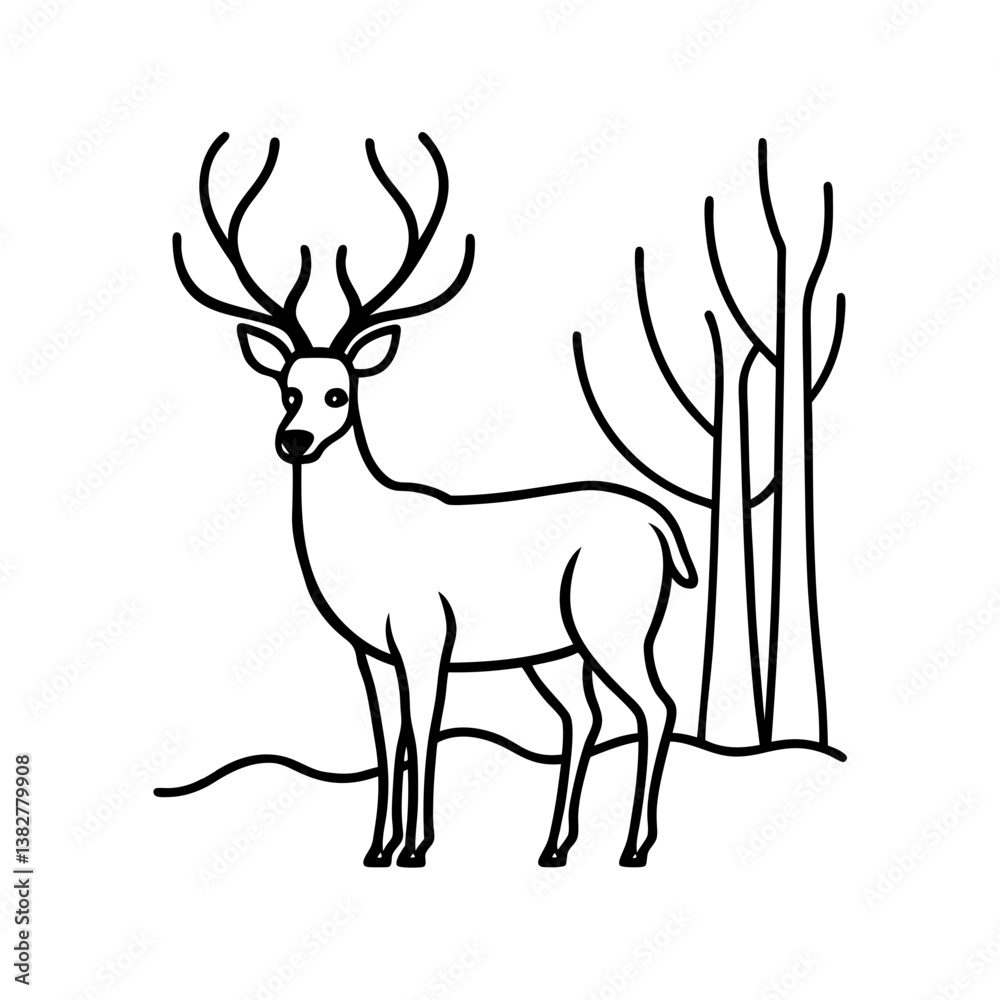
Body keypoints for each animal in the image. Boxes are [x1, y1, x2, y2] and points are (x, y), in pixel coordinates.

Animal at [173, 130, 698, 867]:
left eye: (339, 392)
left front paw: (415, 848)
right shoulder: (369, 650)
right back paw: (554, 847)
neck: (364, 545)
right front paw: (376, 847)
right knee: (584, 718)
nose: (295, 440)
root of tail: (664, 528)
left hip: (613, 618)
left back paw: (634, 847)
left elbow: (422, 734)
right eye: (287, 388)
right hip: (555, 650)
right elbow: (385, 739)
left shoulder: (427, 636)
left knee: (658, 706)